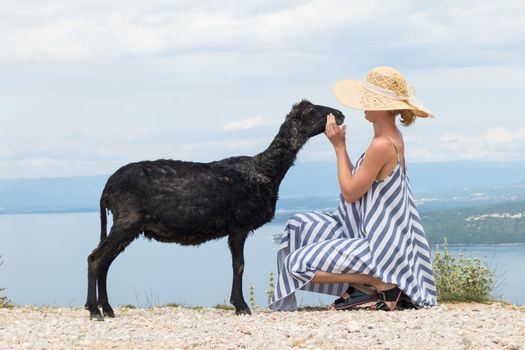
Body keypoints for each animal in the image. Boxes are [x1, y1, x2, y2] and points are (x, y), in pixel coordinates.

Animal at [85, 99, 344, 320]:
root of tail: (107, 188)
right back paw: (95, 311)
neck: (265, 171)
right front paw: (241, 306)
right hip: (127, 220)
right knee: (95, 259)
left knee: (105, 262)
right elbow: (239, 265)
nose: (340, 114)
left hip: (127, 226)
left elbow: (238, 265)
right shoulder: (238, 226)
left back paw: (107, 309)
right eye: (312, 111)